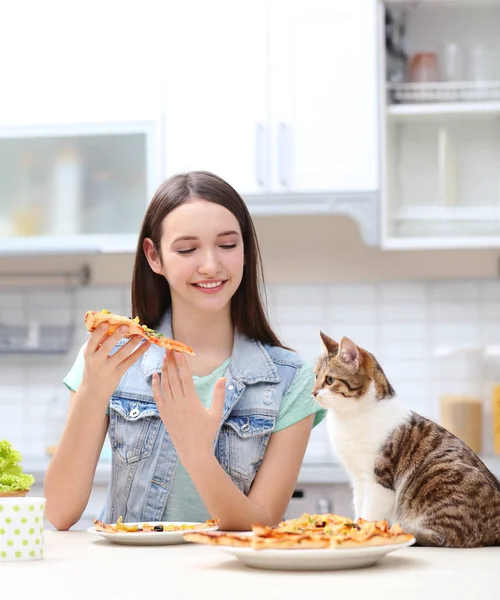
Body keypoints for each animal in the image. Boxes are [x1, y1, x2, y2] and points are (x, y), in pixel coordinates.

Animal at [312, 332, 500, 548]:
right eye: (315, 376)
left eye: (329, 379)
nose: (313, 392)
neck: (351, 417)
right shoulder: (358, 479)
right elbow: (360, 507)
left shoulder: (378, 479)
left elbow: (370, 513)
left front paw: (366, 532)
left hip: (439, 476)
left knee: (446, 537)